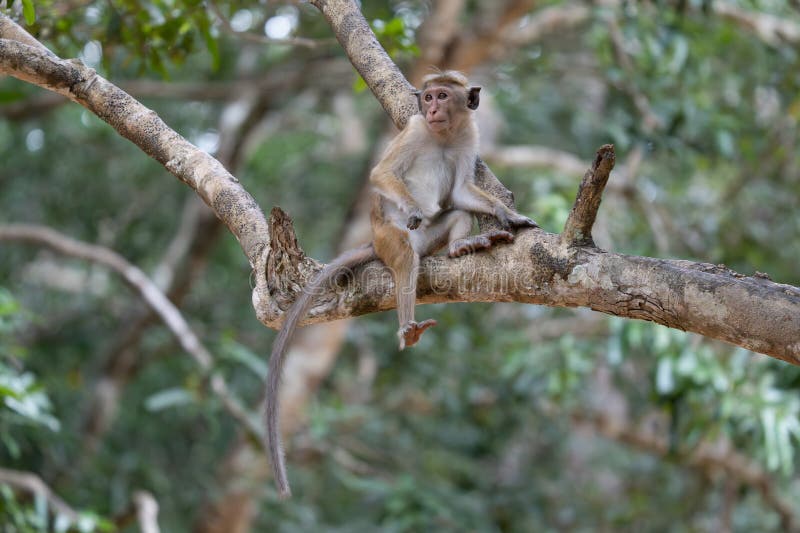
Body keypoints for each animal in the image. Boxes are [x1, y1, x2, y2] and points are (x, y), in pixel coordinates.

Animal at [264, 70, 536, 498]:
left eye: (442, 96)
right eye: (427, 98)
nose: (432, 108)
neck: (442, 136)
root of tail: (375, 243)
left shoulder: (468, 137)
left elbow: (461, 192)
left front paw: (508, 214)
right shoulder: (415, 131)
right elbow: (381, 175)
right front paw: (413, 207)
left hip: (431, 239)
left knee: (456, 215)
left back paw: (460, 244)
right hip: (391, 240)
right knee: (406, 259)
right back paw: (408, 325)